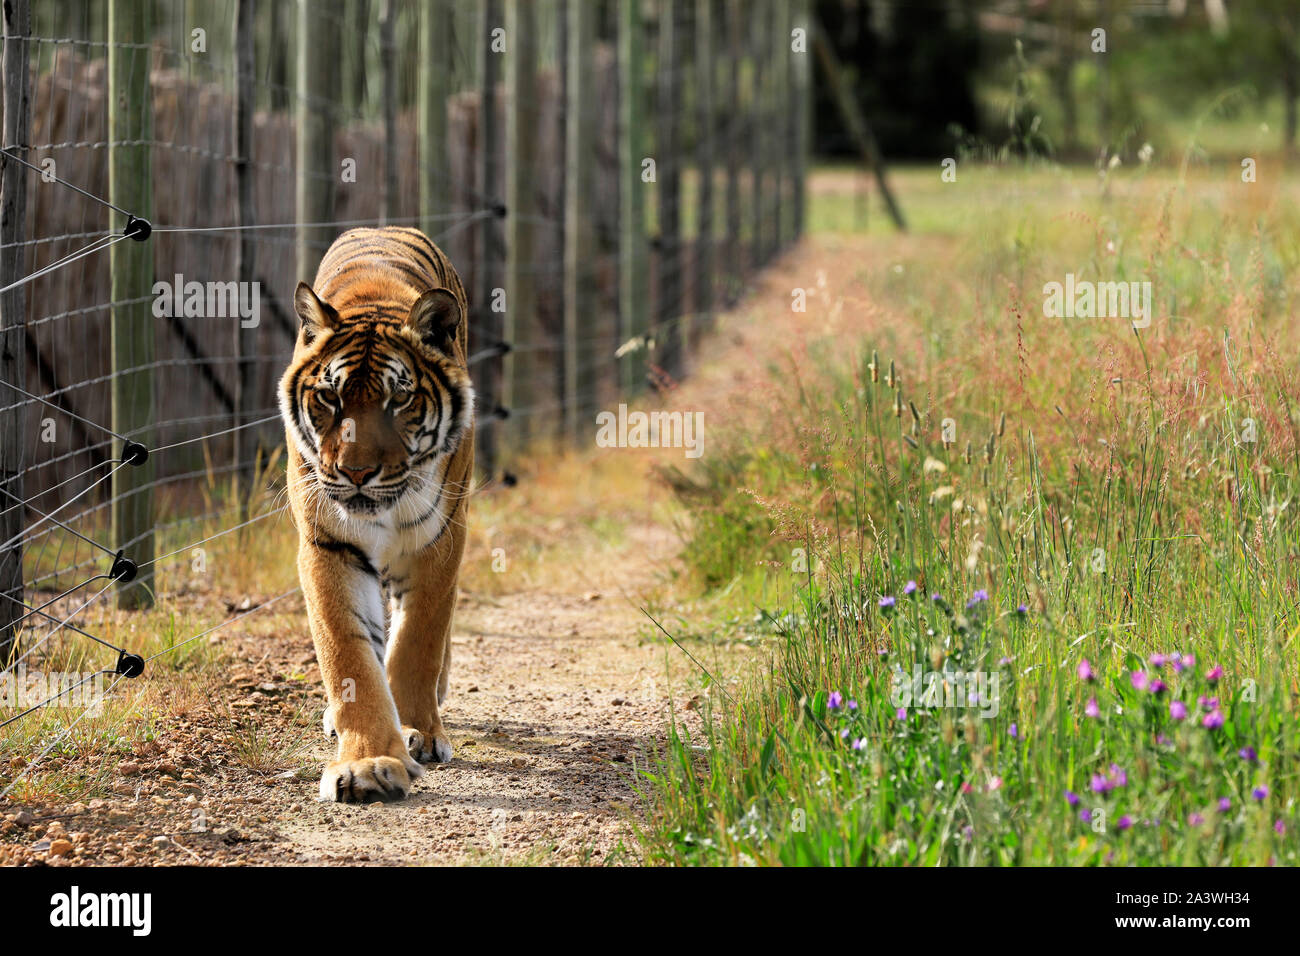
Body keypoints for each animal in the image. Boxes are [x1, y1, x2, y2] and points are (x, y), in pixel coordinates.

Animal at [278, 226, 475, 803]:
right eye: (330, 397)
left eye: (399, 401)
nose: (357, 471)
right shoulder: (328, 546)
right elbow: (349, 655)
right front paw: (367, 763)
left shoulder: (439, 539)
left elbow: (417, 642)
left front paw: (419, 733)